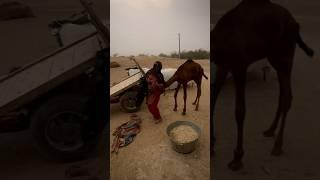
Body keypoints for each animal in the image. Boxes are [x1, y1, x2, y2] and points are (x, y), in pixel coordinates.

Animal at [211, 0, 314, 171]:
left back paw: (277, 146)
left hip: (286, 54)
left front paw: (237, 157)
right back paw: (270, 130)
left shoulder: (239, 65)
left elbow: (240, 110)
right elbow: (212, 101)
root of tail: (294, 22)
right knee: (282, 93)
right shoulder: (223, 65)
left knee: (287, 95)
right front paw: (212, 144)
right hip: (274, 57)